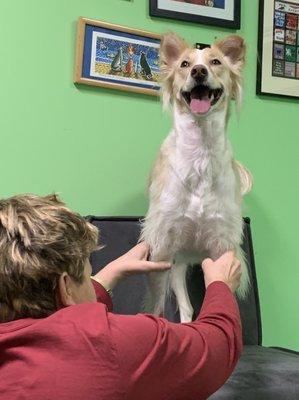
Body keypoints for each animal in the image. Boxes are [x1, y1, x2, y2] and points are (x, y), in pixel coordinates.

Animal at [141, 32, 253, 324]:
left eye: (215, 62)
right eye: (184, 64)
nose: (199, 71)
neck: (201, 152)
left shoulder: (222, 249)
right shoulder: (162, 249)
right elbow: (156, 306)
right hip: (176, 263)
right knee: (185, 308)